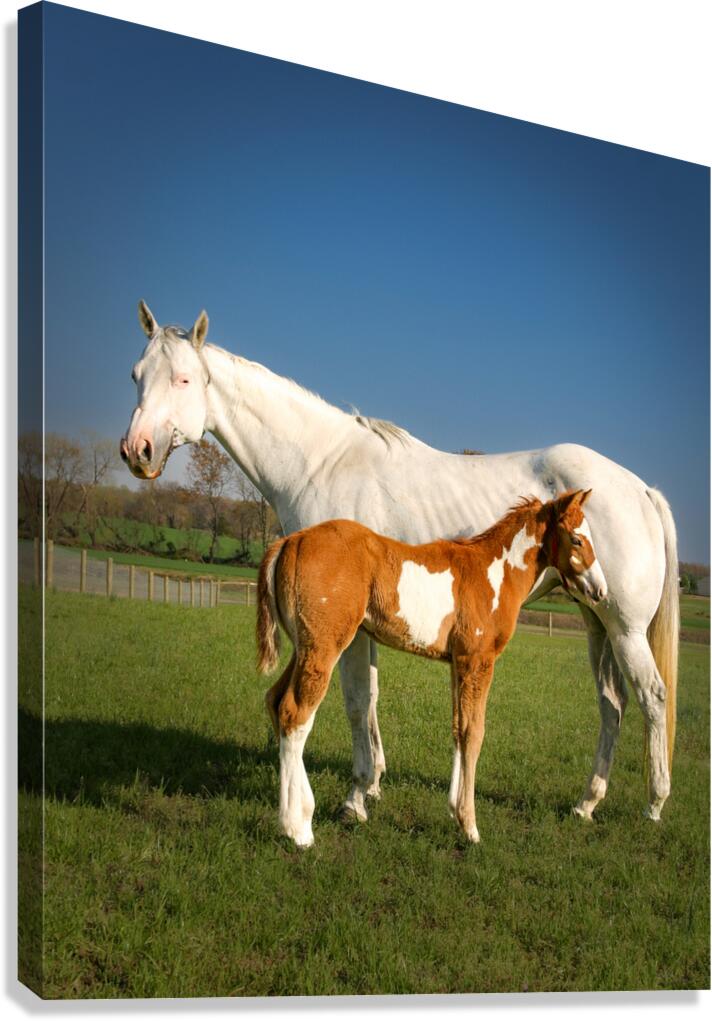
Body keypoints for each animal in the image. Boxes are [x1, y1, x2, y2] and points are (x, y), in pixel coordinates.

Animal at [256, 491, 607, 846]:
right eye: (577, 539)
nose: (600, 591)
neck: (493, 574)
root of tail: (290, 540)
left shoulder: (458, 663)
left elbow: (457, 728)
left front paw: (454, 811)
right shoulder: (477, 660)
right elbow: (474, 732)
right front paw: (469, 826)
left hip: (304, 650)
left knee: (275, 702)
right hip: (324, 649)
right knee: (295, 714)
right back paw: (298, 828)